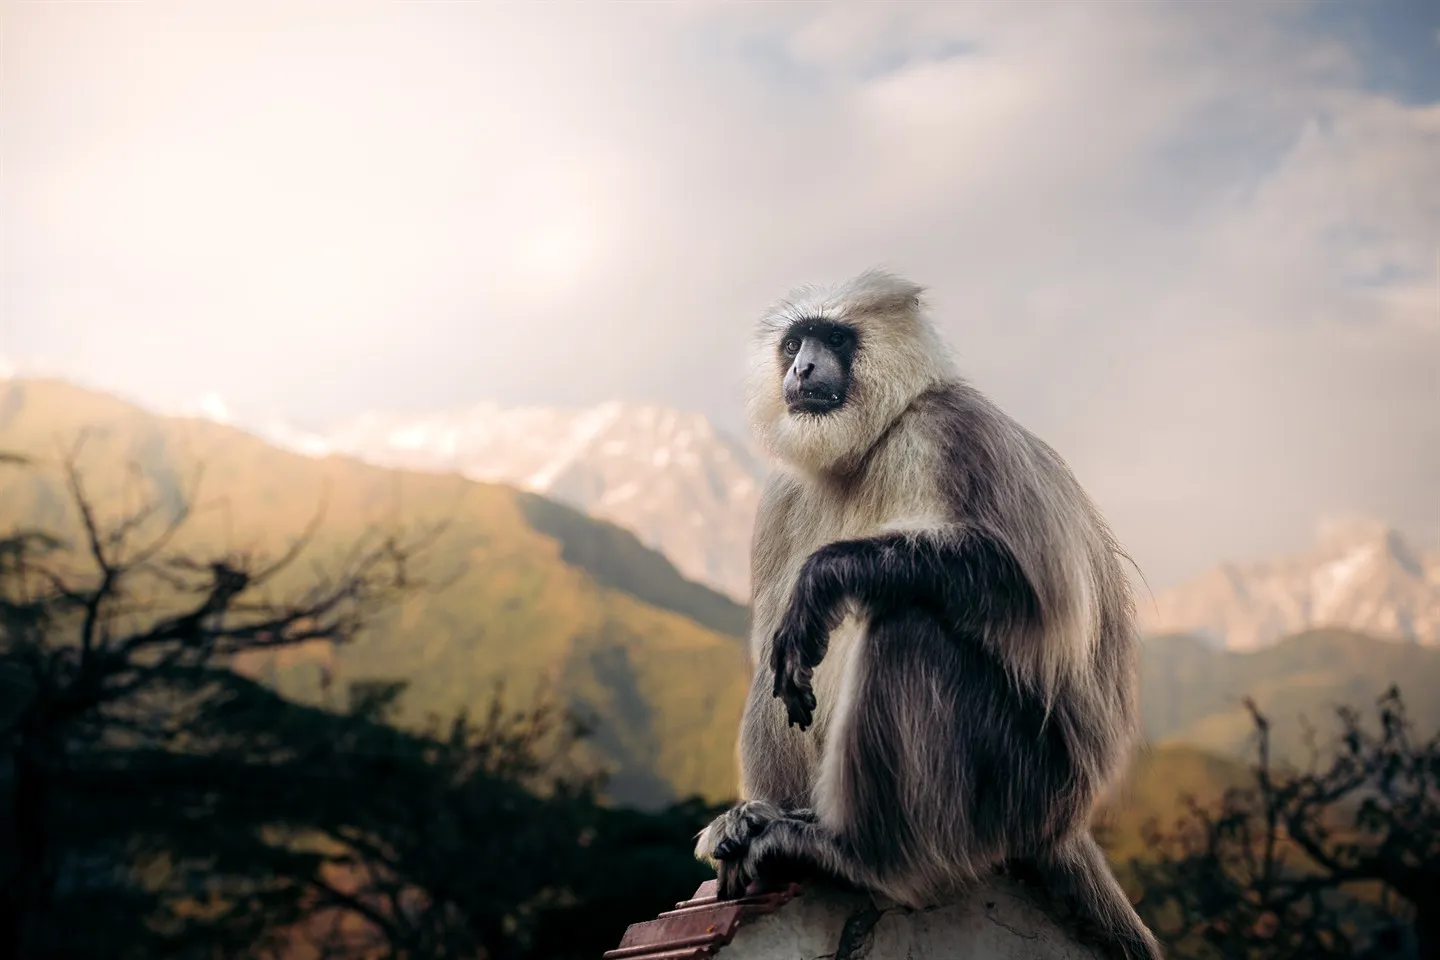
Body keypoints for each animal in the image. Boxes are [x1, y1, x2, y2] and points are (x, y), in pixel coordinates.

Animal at [694, 269, 1162, 960]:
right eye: (795, 342)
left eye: (834, 338)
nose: (803, 368)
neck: (864, 449)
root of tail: (1066, 823)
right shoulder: (781, 500)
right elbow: (778, 650)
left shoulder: (951, 428)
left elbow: (1038, 590)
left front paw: (823, 579)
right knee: (782, 666)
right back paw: (761, 819)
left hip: (1018, 786)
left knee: (905, 624)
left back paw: (853, 853)